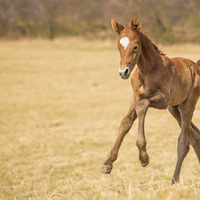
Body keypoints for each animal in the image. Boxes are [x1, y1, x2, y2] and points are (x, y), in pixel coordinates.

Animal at [102, 15, 200, 184]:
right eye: (118, 47)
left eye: (135, 47)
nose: (123, 72)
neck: (146, 71)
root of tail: (196, 66)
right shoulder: (135, 96)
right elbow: (125, 122)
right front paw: (108, 163)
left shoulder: (163, 99)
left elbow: (143, 105)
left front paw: (144, 157)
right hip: (174, 108)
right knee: (195, 137)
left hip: (187, 105)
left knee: (184, 141)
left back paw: (174, 181)